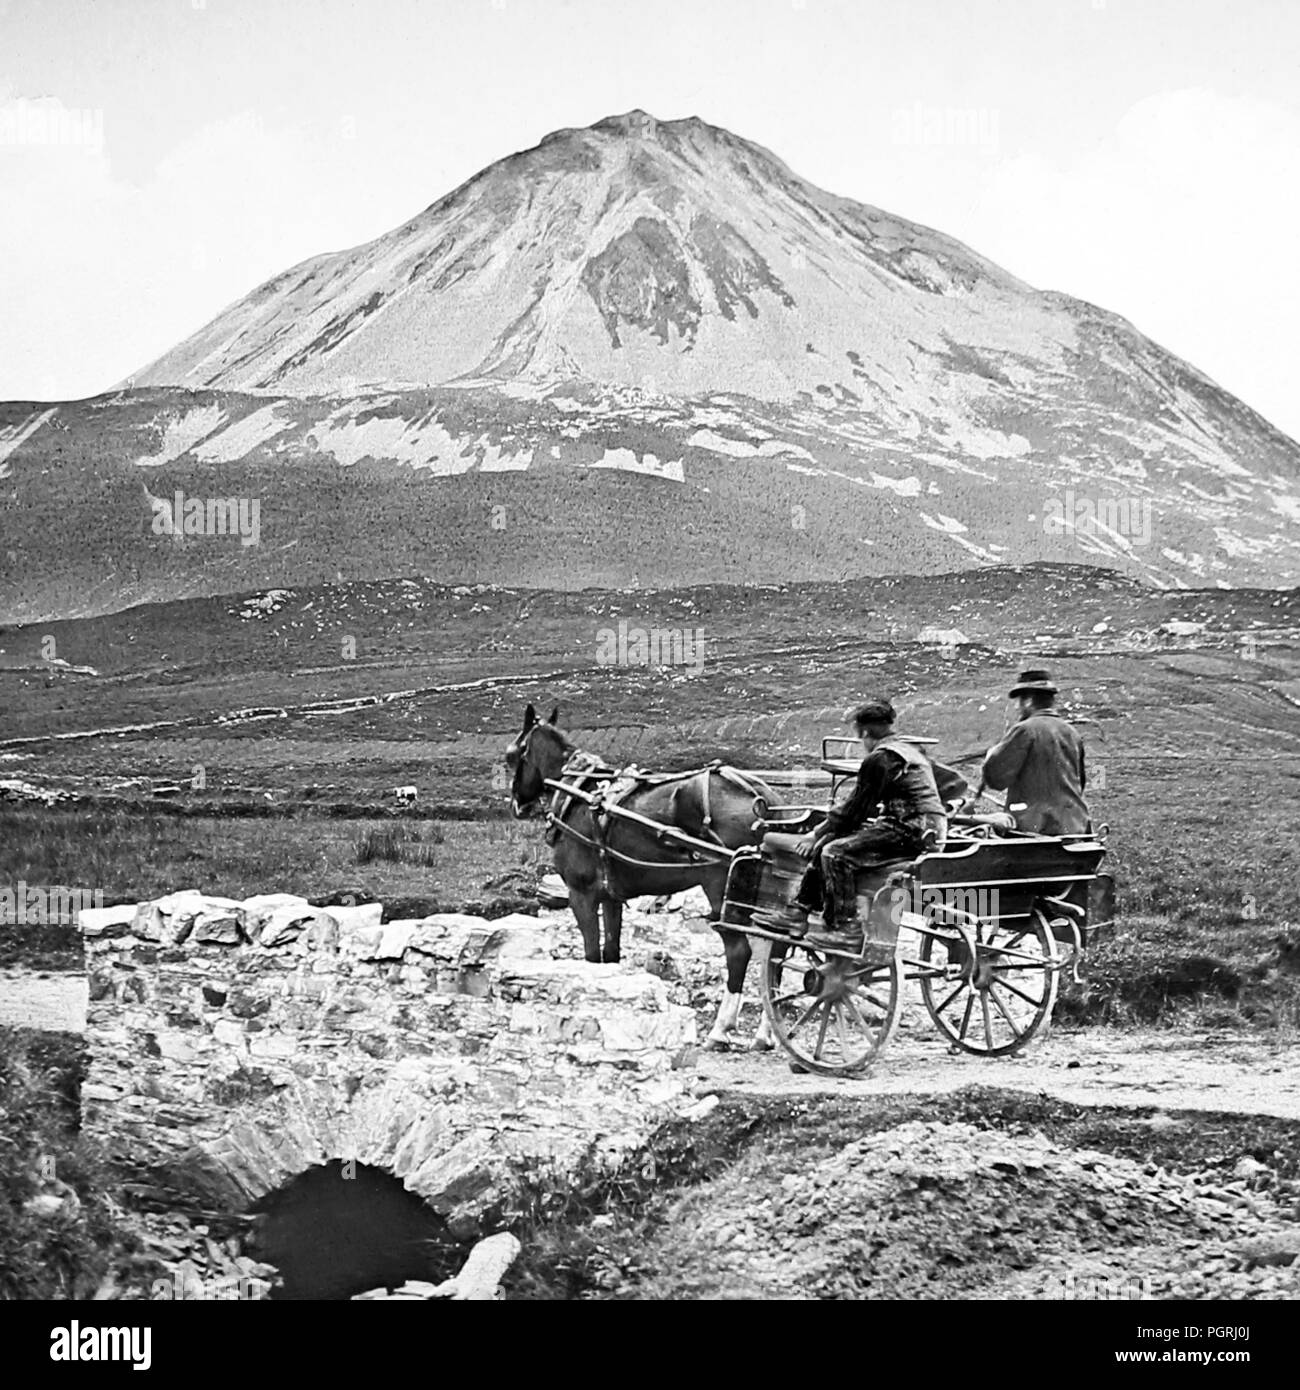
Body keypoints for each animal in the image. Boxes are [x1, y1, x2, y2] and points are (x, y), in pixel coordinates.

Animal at [503, 711, 778, 1045]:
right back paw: (766, 1032)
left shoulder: (581, 894)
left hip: (720, 886)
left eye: (512, 755)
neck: (579, 793)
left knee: (740, 952)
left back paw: (721, 1029)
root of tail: (761, 797)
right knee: (771, 954)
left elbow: (592, 955)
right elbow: (611, 953)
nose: (517, 804)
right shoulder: (610, 897)